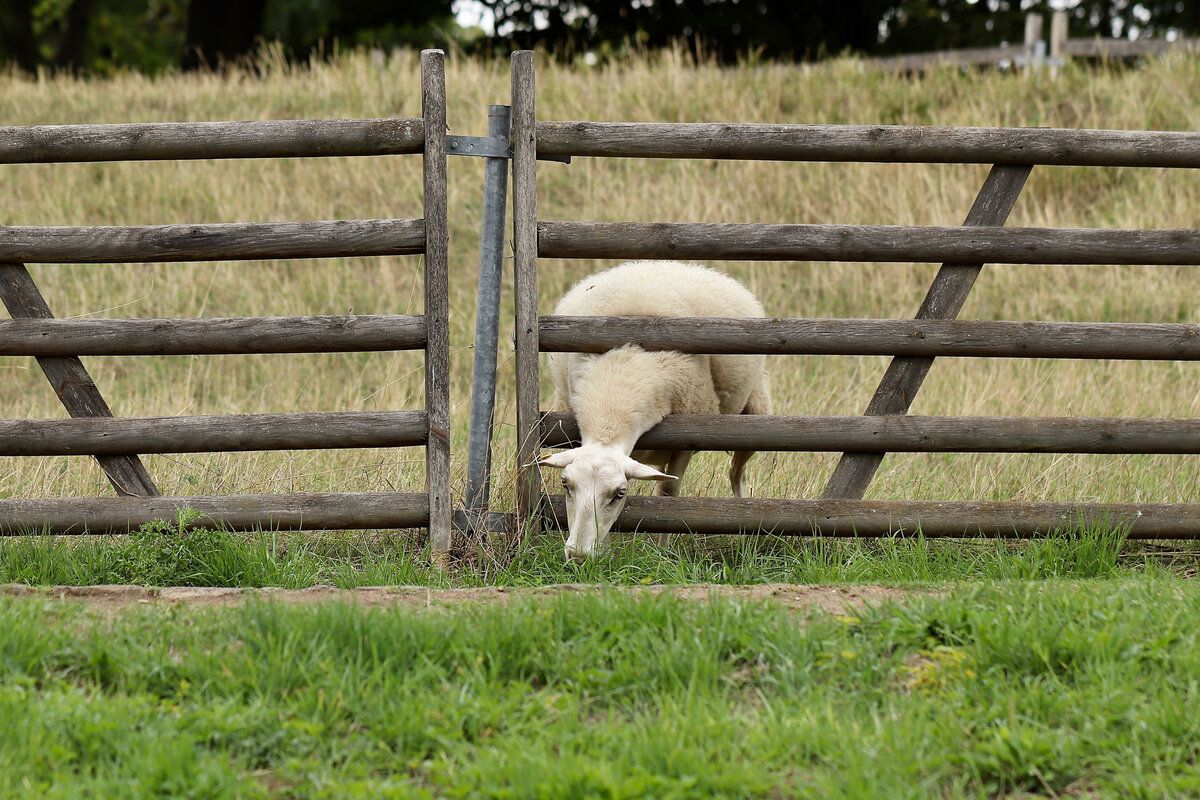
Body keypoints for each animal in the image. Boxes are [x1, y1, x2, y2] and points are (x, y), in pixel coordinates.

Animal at [532, 262, 768, 563]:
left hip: (755, 415)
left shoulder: (687, 440)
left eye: (620, 493)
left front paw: (663, 553)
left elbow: (667, 495)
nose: (578, 556)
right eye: (565, 484)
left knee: (737, 475)